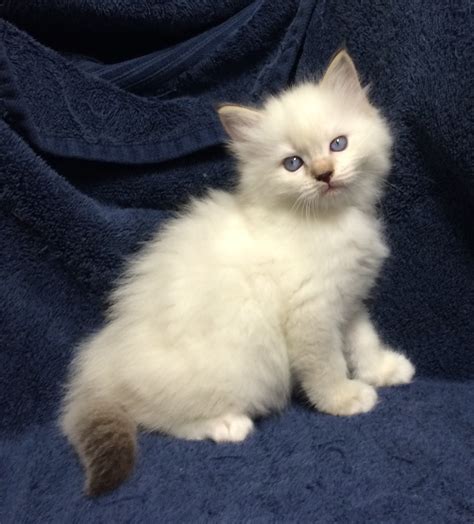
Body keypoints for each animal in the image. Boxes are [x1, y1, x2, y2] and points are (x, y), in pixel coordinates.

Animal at [60, 50, 414, 496]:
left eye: (338, 144)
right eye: (293, 164)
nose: (324, 173)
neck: (329, 221)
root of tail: (103, 358)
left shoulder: (348, 300)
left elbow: (363, 342)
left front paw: (384, 371)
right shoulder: (311, 314)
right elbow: (327, 365)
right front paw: (345, 400)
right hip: (235, 370)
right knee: (152, 417)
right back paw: (227, 425)